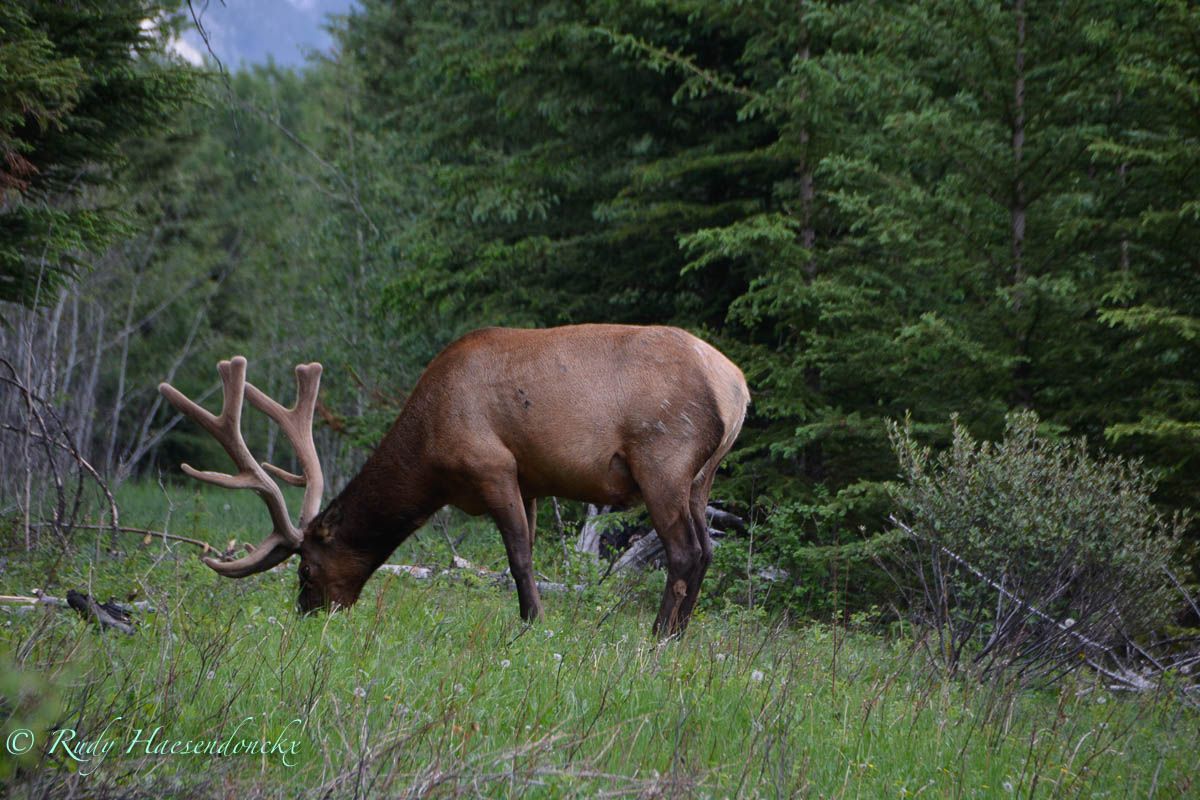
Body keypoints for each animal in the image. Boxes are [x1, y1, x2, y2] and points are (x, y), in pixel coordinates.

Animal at [158, 324, 749, 636]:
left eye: (306, 570)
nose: (308, 616)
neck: (429, 460)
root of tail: (737, 387)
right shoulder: (530, 480)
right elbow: (525, 550)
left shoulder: (492, 466)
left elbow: (519, 558)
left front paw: (533, 624)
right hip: (702, 477)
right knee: (706, 549)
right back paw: (679, 632)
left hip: (663, 457)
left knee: (684, 552)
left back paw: (660, 635)